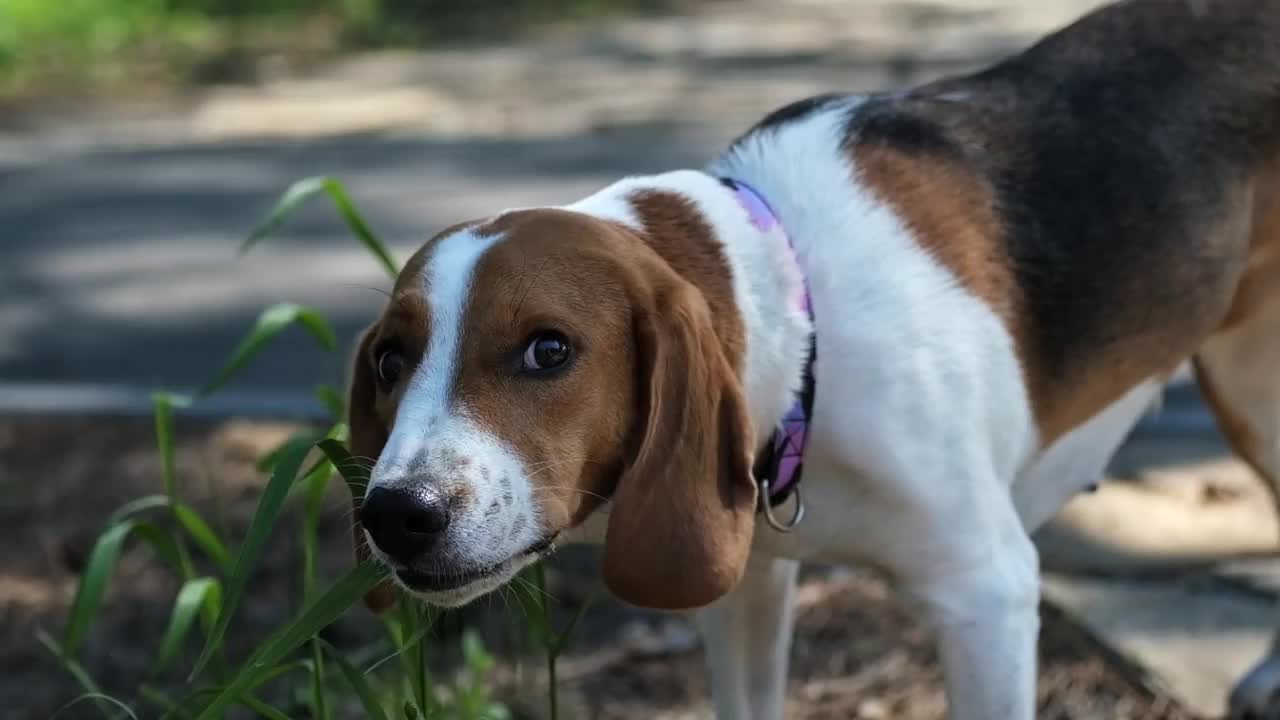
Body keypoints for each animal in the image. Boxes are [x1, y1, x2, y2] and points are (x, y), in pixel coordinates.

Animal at [345, 2, 1280, 712]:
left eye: (548, 349)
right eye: (390, 361)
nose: (396, 513)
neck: (803, 325)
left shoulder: (987, 595)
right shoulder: (743, 588)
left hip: (1254, 399)